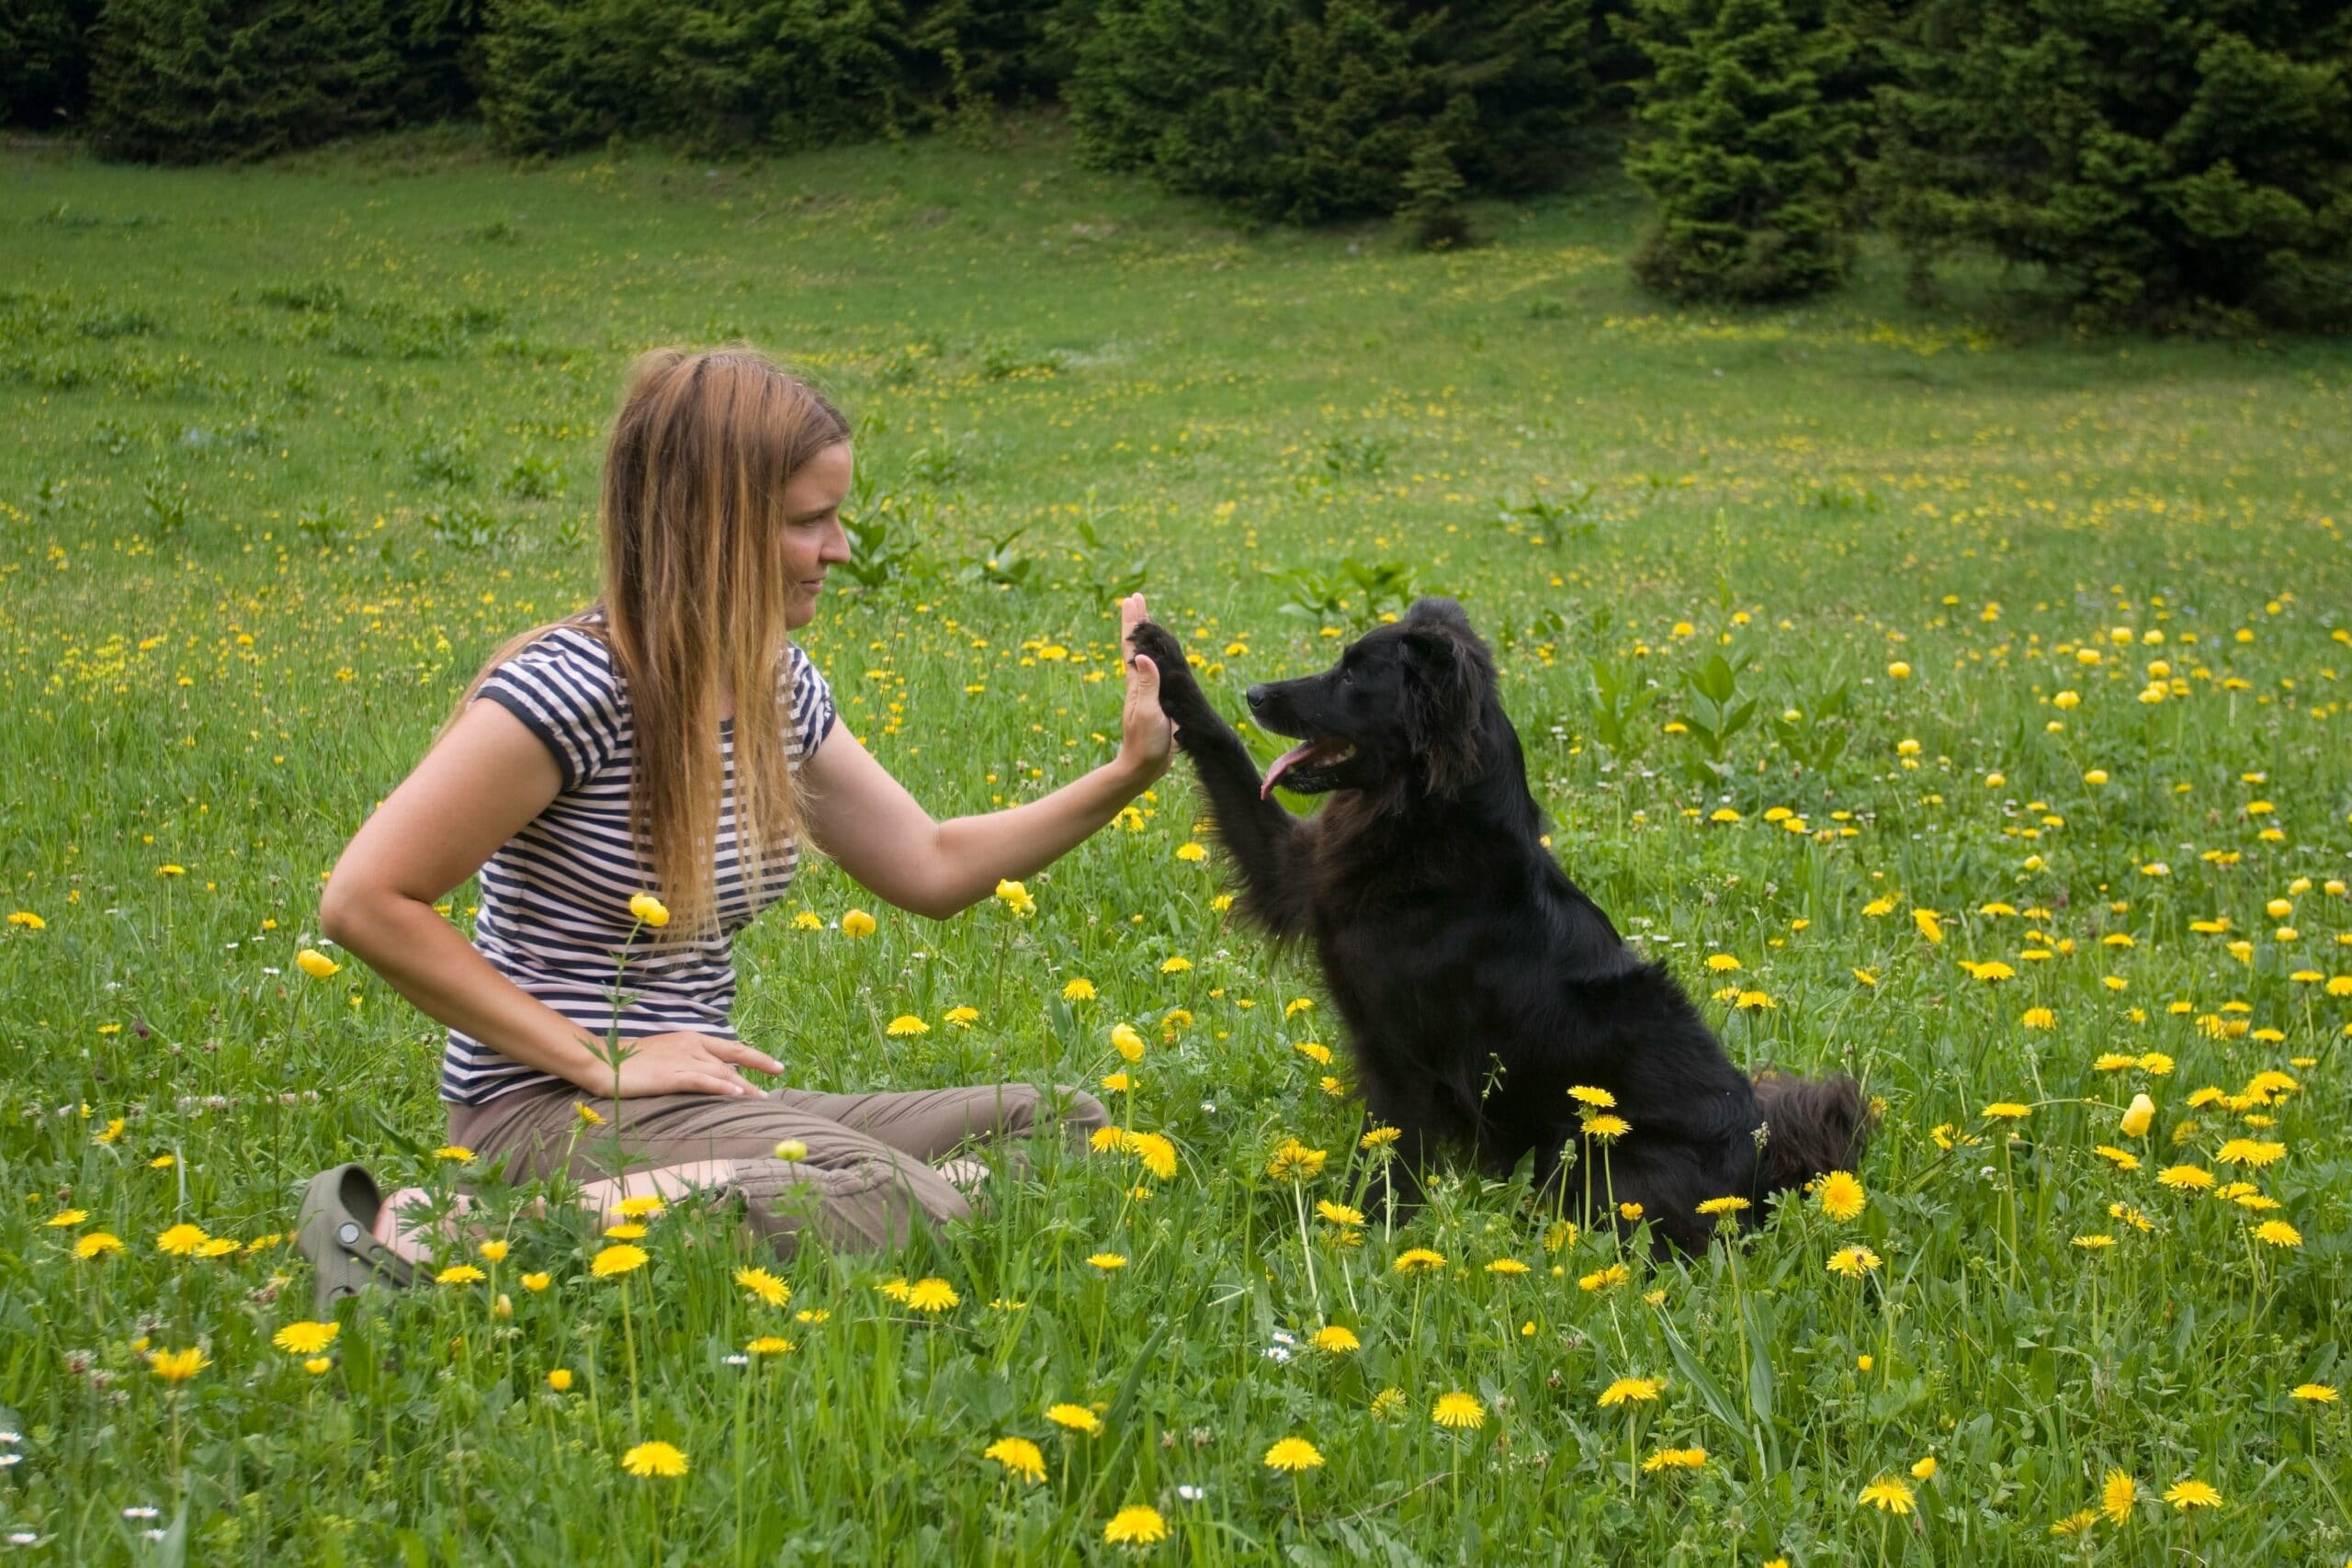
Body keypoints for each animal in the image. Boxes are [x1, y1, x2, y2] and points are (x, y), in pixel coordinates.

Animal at [1133, 602, 1871, 1250]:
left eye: (1350, 676)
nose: (1255, 692)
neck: (1428, 824)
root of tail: (1766, 1171)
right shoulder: (1299, 873)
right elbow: (1226, 752)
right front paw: (1165, 664)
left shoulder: (1401, 1059)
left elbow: (1386, 1164)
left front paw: (1354, 1237)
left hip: (1596, 1159)